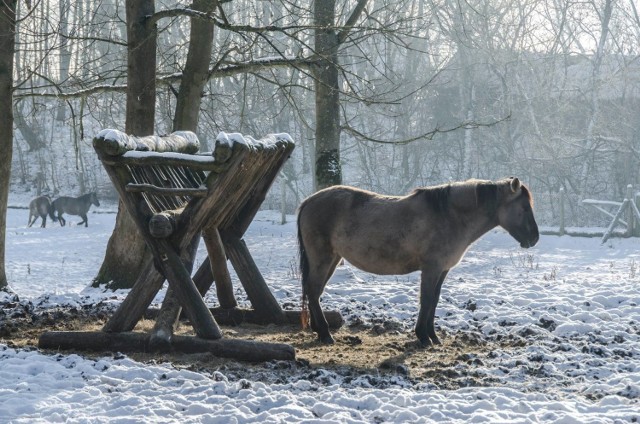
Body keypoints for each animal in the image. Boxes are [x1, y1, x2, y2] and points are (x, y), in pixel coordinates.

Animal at [298, 177, 536, 346]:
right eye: (524, 208)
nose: (534, 238)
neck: (450, 216)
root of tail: (308, 201)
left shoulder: (442, 270)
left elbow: (435, 300)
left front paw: (433, 336)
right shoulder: (431, 269)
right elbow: (427, 299)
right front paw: (423, 336)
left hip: (332, 259)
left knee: (314, 292)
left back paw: (319, 331)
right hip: (323, 258)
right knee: (313, 290)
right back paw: (325, 334)